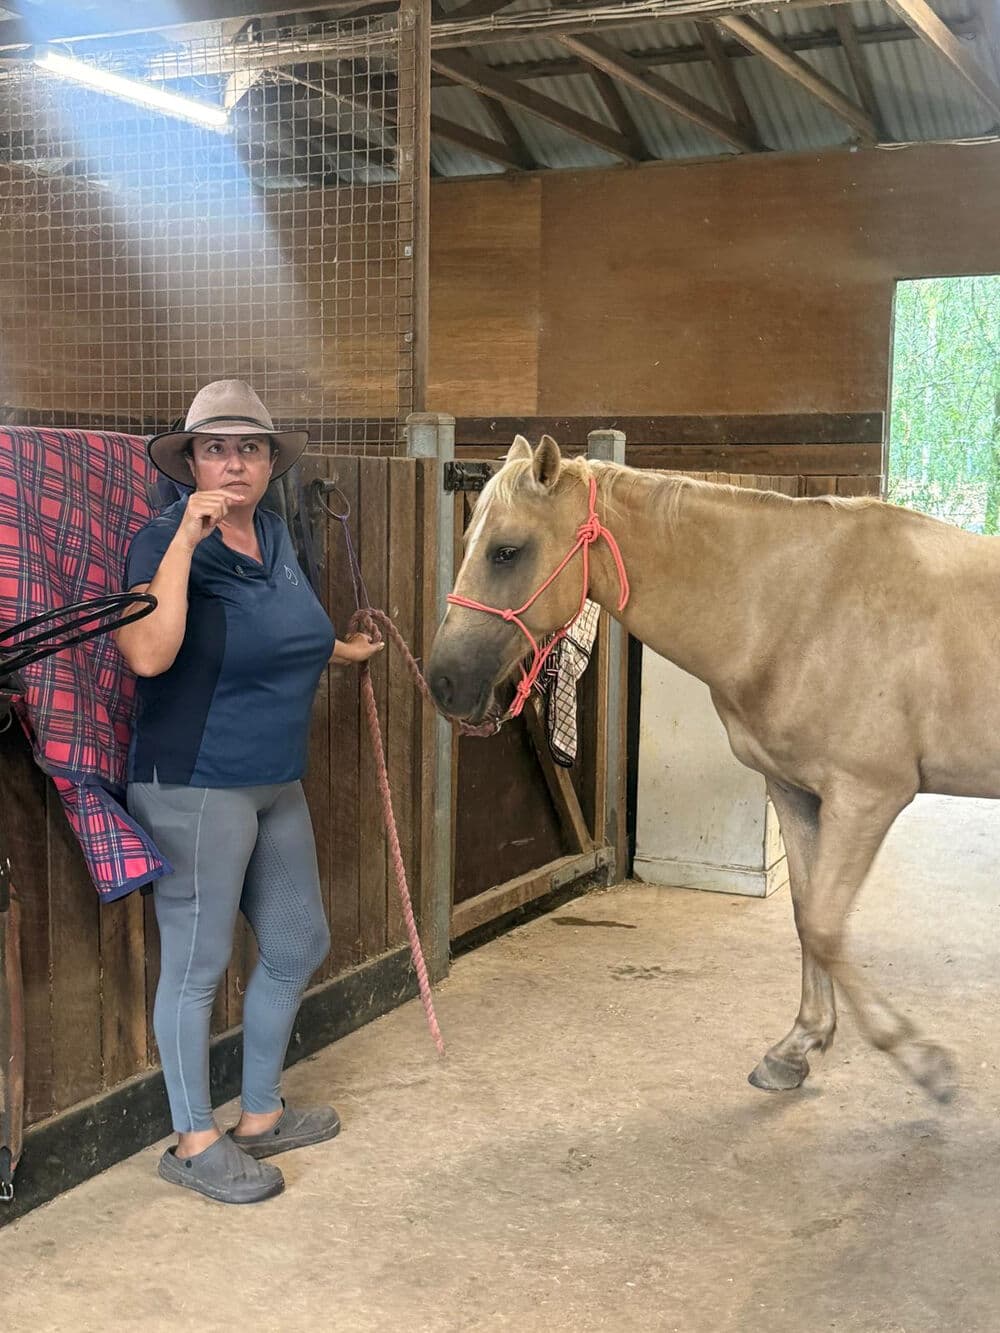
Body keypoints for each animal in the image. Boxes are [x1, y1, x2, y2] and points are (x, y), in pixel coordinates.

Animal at [427, 434, 1000, 1103]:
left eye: (506, 551)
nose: (443, 682)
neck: (802, 607)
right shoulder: (798, 792)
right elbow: (807, 916)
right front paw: (797, 1047)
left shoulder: (868, 797)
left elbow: (827, 925)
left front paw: (920, 1059)